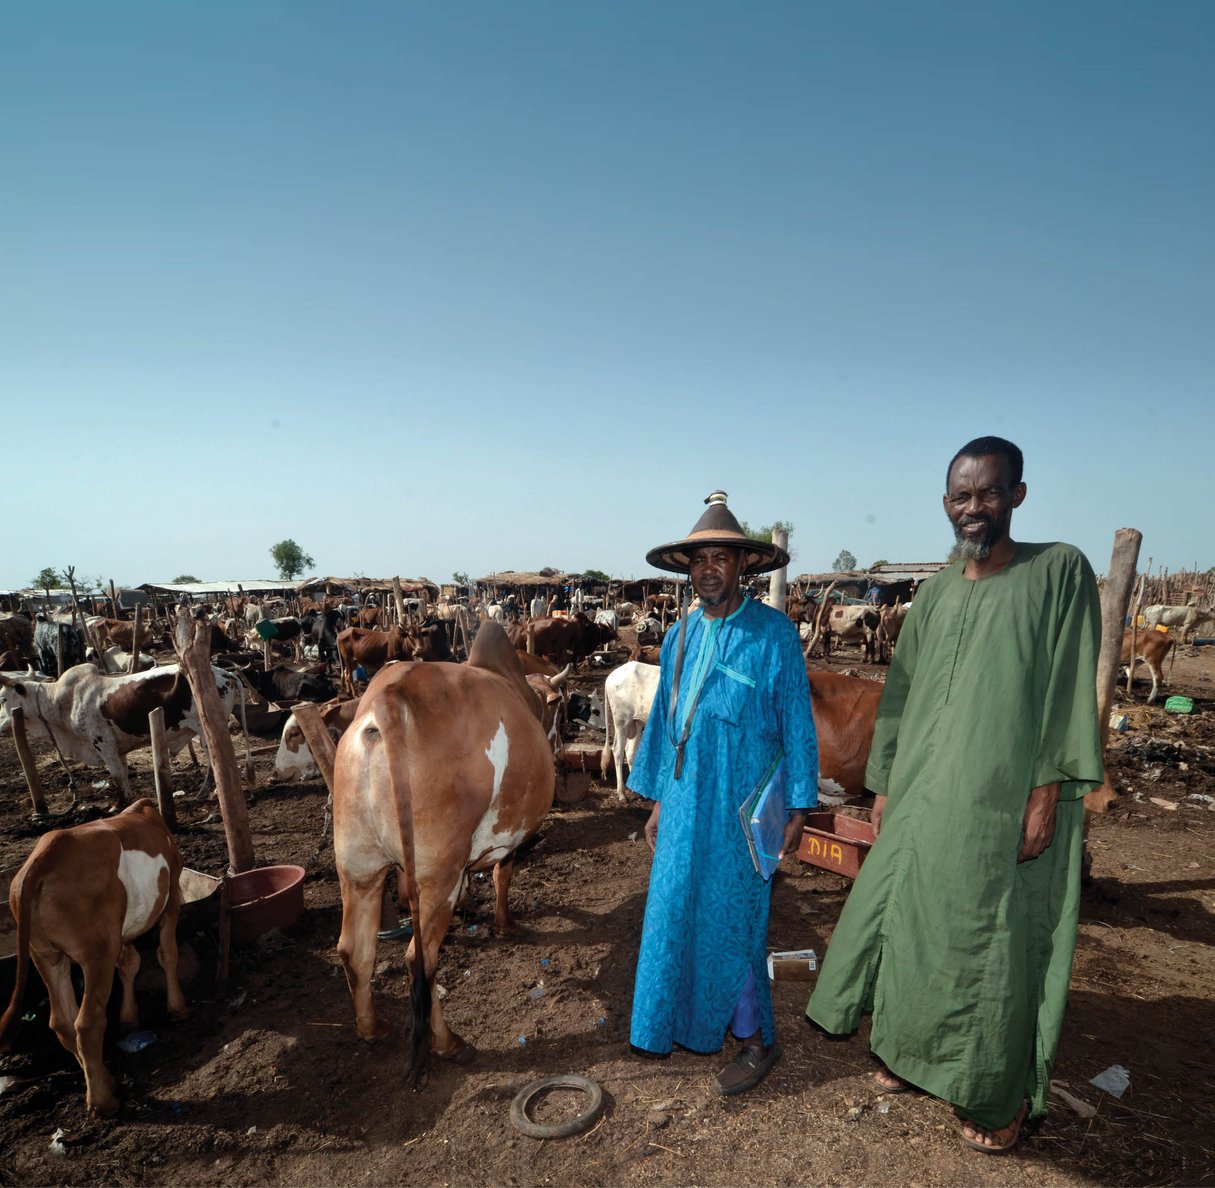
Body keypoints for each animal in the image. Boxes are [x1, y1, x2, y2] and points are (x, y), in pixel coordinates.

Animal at [0, 660, 246, 801]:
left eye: (2, 698)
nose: (1, 724)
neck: (62, 702)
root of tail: (225, 673)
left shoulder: (102, 742)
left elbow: (116, 775)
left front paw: (122, 803)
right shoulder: (119, 748)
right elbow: (124, 773)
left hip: (206, 730)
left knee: (217, 761)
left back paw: (211, 792)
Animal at [0, 801, 187, 1117]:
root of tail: (44, 855)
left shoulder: (119, 932)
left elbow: (129, 964)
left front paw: (129, 1017)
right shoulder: (172, 894)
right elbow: (168, 954)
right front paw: (177, 1008)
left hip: (45, 954)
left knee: (62, 1022)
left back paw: (105, 1079)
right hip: (96, 951)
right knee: (87, 1023)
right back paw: (102, 1101)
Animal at [335, 619, 556, 1073]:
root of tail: (386, 700)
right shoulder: (507, 838)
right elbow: (502, 874)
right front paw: (504, 924)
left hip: (358, 865)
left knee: (354, 951)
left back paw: (371, 1027)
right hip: (437, 875)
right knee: (419, 959)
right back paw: (446, 1042)